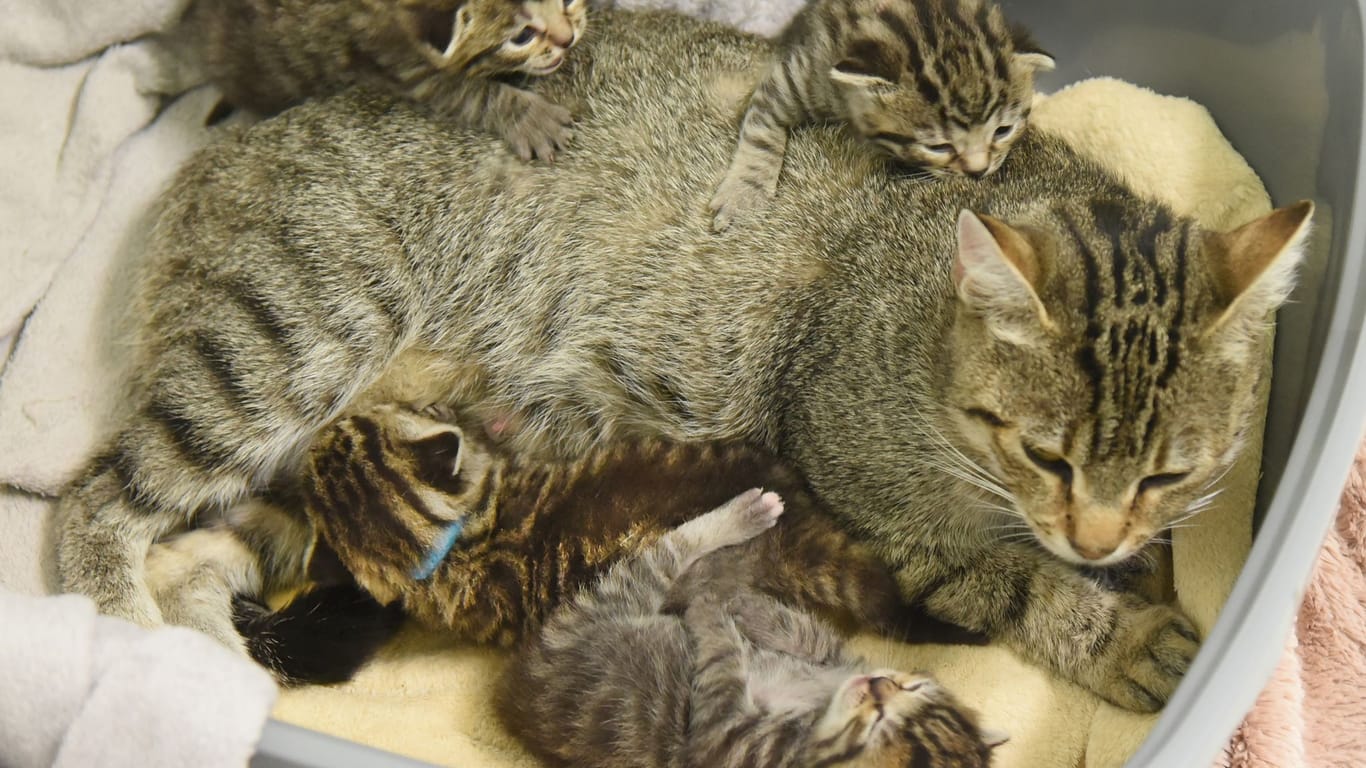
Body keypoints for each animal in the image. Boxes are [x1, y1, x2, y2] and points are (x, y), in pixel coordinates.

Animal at [499, 483, 1005, 765]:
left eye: (878, 725)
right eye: (912, 687)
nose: (878, 683)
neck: (821, 708)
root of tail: (518, 684)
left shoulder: (725, 735)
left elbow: (723, 660)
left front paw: (715, 612)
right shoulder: (835, 656)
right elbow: (806, 634)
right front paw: (743, 610)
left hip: (617, 595)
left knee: (672, 551)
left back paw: (735, 531)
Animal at [710, 0, 1049, 228]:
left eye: (1002, 130)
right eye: (939, 147)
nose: (979, 171)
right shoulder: (797, 74)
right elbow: (762, 126)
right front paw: (744, 196)